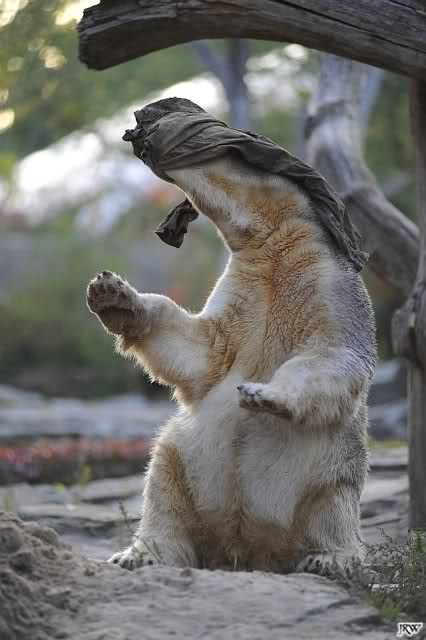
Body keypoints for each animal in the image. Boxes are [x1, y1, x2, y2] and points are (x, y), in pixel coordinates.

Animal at [87, 153, 376, 575]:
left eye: (228, 162)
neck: (280, 252)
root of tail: (249, 551)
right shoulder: (245, 288)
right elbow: (204, 349)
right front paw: (111, 293)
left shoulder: (330, 289)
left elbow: (331, 356)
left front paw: (263, 394)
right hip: (187, 464)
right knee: (163, 480)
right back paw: (139, 554)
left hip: (330, 472)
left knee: (331, 510)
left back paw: (328, 558)